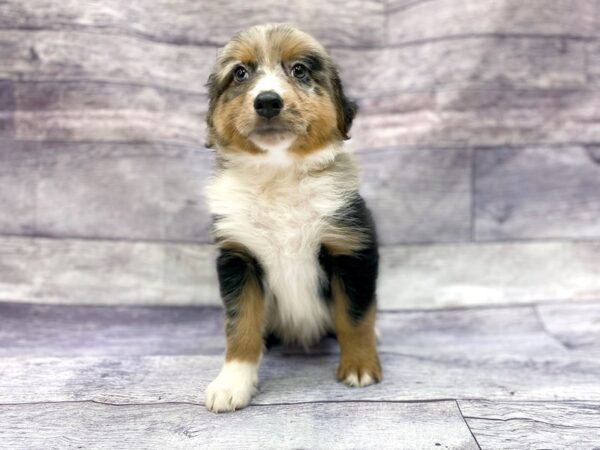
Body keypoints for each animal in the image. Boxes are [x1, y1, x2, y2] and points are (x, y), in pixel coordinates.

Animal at [203, 23, 380, 412]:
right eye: (240, 73)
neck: (279, 175)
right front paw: (232, 382)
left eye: (299, 70)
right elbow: (240, 325)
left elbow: (355, 316)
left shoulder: (351, 247)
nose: (268, 100)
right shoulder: (239, 257)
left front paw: (360, 365)